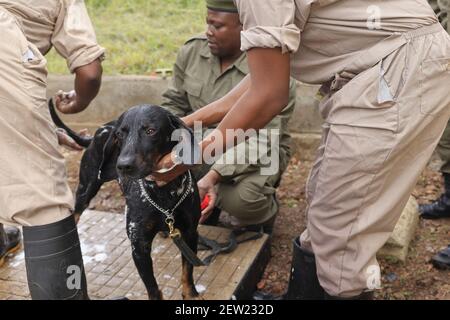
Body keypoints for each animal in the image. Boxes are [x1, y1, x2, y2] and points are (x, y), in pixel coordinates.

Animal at [48, 102, 200, 300]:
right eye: (120, 135)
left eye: (151, 130)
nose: (123, 165)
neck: (165, 193)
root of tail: (100, 130)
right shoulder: (139, 248)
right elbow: (153, 288)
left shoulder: (190, 234)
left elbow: (187, 272)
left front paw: (191, 294)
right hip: (85, 189)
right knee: (76, 213)